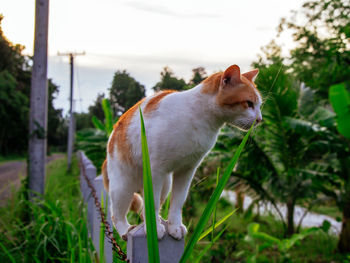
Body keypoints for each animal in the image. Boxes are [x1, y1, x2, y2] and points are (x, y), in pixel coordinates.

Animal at [102, 64, 262, 241]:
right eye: (249, 103)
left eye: (260, 106)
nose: (260, 119)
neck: (200, 120)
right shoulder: (155, 170)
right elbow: (153, 203)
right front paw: (154, 229)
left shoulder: (187, 170)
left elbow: (177, 202)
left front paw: (174, 226)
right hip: (123, 186)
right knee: (117, 215)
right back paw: (126, 231)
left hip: (165, 184)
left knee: (146, 208)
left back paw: (157, 220)